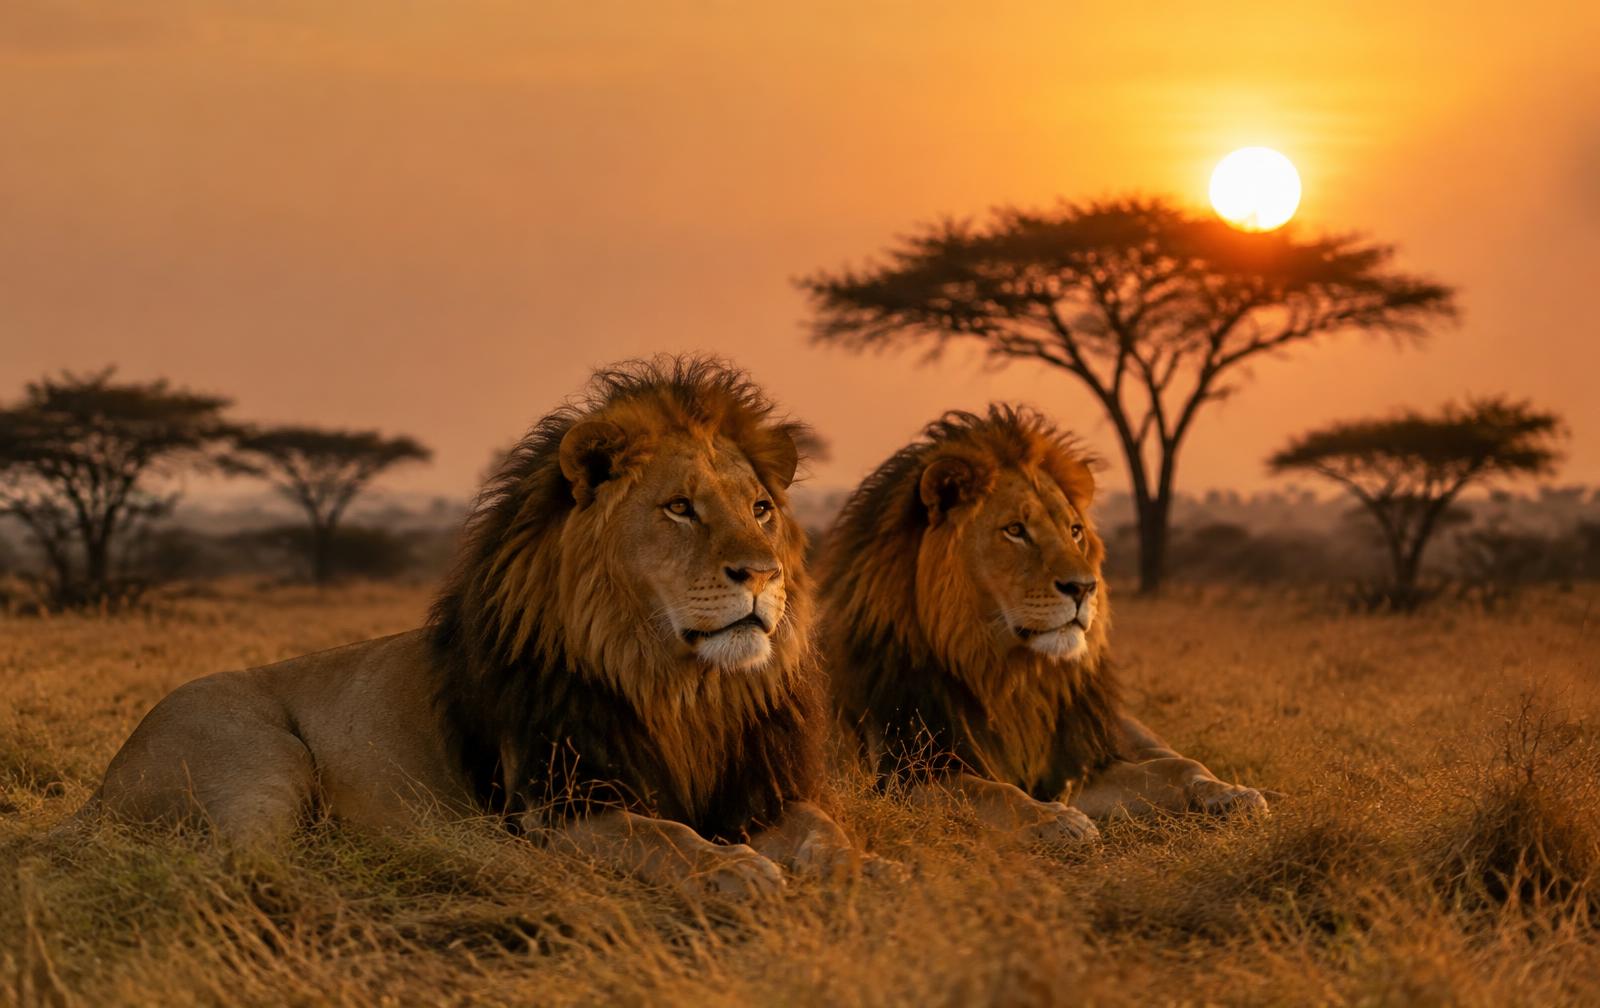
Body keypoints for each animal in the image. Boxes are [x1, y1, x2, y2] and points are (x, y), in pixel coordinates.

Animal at [84, 357, 876, 896]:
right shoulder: (567, 807)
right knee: (240, 863)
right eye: (680, 508)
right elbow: (667, 836)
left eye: (761, 510)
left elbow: (824, 827)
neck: (680, 689)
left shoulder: (759, 789)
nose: (764, 575)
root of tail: (97, 792)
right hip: (260, 757)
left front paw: (860, 868)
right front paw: (733, 870)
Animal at [819, 406, 1267, 844]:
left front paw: (1226, 794)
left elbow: (1173, 769)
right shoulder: (904, 776)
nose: (1084, 587)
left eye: (1075, 531)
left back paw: (1234, 793)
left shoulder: (1075, 764)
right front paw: (1057, 821)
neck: (1008, 676)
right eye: (1016, 530)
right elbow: (992, 791)